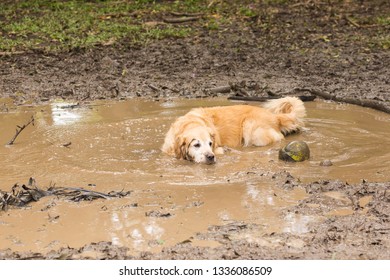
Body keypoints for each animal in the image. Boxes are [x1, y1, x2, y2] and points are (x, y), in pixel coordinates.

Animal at [161, 96, 304, 163]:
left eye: (210, 143)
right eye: (196, 145)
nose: (210, 157)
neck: (190, 123)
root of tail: (274, 116)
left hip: (252, 129)